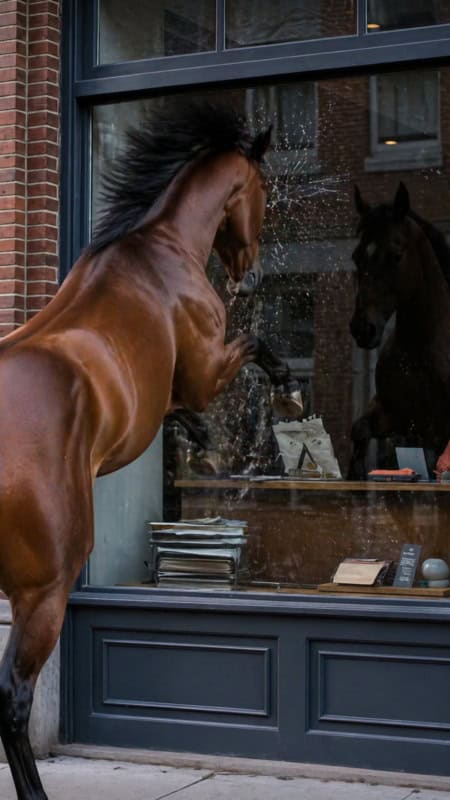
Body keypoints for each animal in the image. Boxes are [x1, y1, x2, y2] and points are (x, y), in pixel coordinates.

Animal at [0, 102, 302, 800]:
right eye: (261, 189)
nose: (250, 274)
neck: (160, 252)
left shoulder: (174, 393)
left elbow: (178, 412)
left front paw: (201, 441)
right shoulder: (209, 367)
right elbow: (255, 347)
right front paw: (288, 393)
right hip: (42, 591)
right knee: (13, 702)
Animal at [348, 182, 450, 479]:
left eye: (396, 255)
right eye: (356, 256)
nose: (363, 328)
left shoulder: (437, 429)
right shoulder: (395, 414)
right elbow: (359, 430)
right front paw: (356, 473)